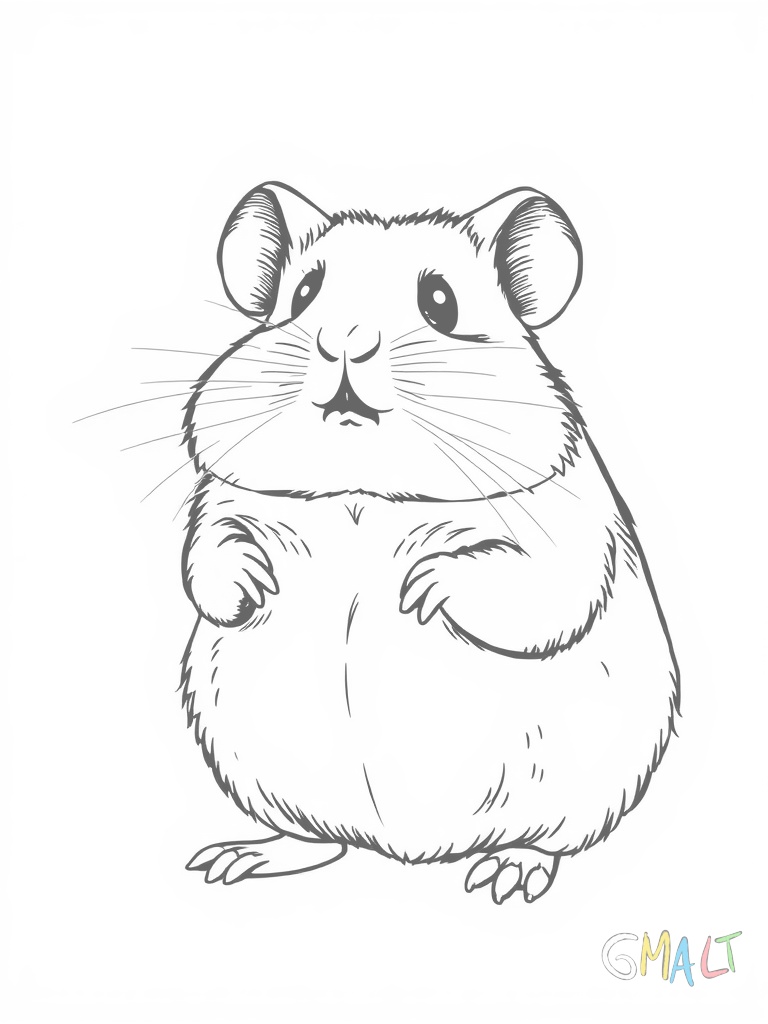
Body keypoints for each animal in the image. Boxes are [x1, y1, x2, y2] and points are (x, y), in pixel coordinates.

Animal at [180, 182, 679, 904]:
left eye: (440, 302)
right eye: (303, 295)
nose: (343, 340)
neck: (364, 489)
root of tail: (404, 850)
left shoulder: (565, 525)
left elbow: (535, 581)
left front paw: (418, 589)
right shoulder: (227, 500)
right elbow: (210, 551)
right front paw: (260, 582)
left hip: (586, 781)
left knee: (549, 841)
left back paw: (505, 875)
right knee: (317, 839)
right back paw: (234, 859)